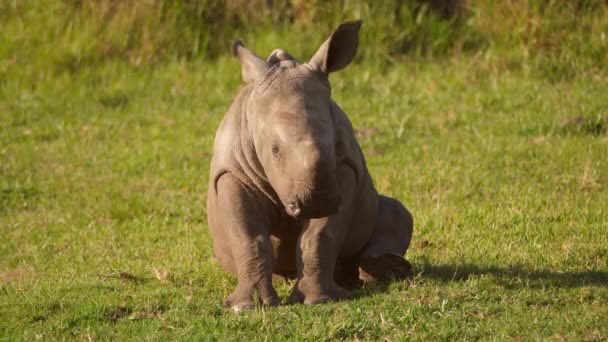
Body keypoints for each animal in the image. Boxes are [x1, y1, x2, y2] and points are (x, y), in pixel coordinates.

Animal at [208, 20, 414, 310]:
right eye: (274, 150)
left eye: (334, 143)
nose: (317, 202)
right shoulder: (231, 173)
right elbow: (248, 235)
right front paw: (247, 306)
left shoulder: (344, 170)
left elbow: (319, 235)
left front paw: (319, 300)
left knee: (397, 212)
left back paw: (381, 271)